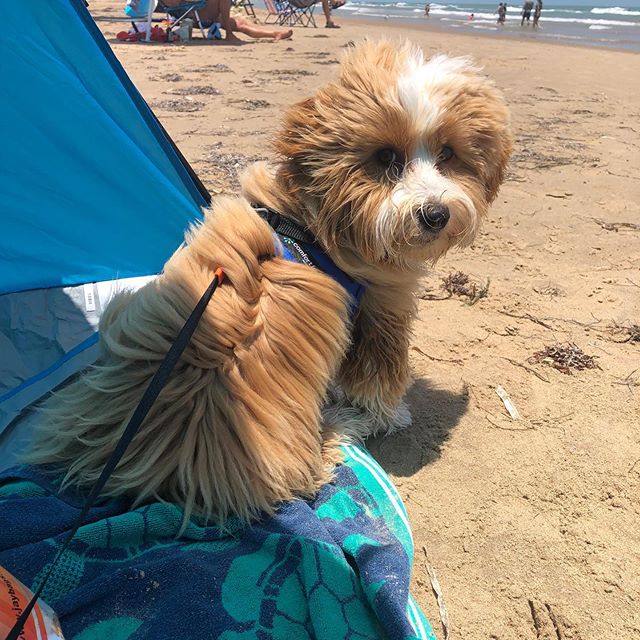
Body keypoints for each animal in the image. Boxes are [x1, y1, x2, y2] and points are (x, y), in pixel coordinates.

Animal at [27, 38, 512, 528]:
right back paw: (343, 425)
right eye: (386, 158)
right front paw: (388, 415)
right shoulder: (380, 311)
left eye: (448, 154)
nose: (435, 214)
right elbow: (377, 379)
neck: (312, 224)